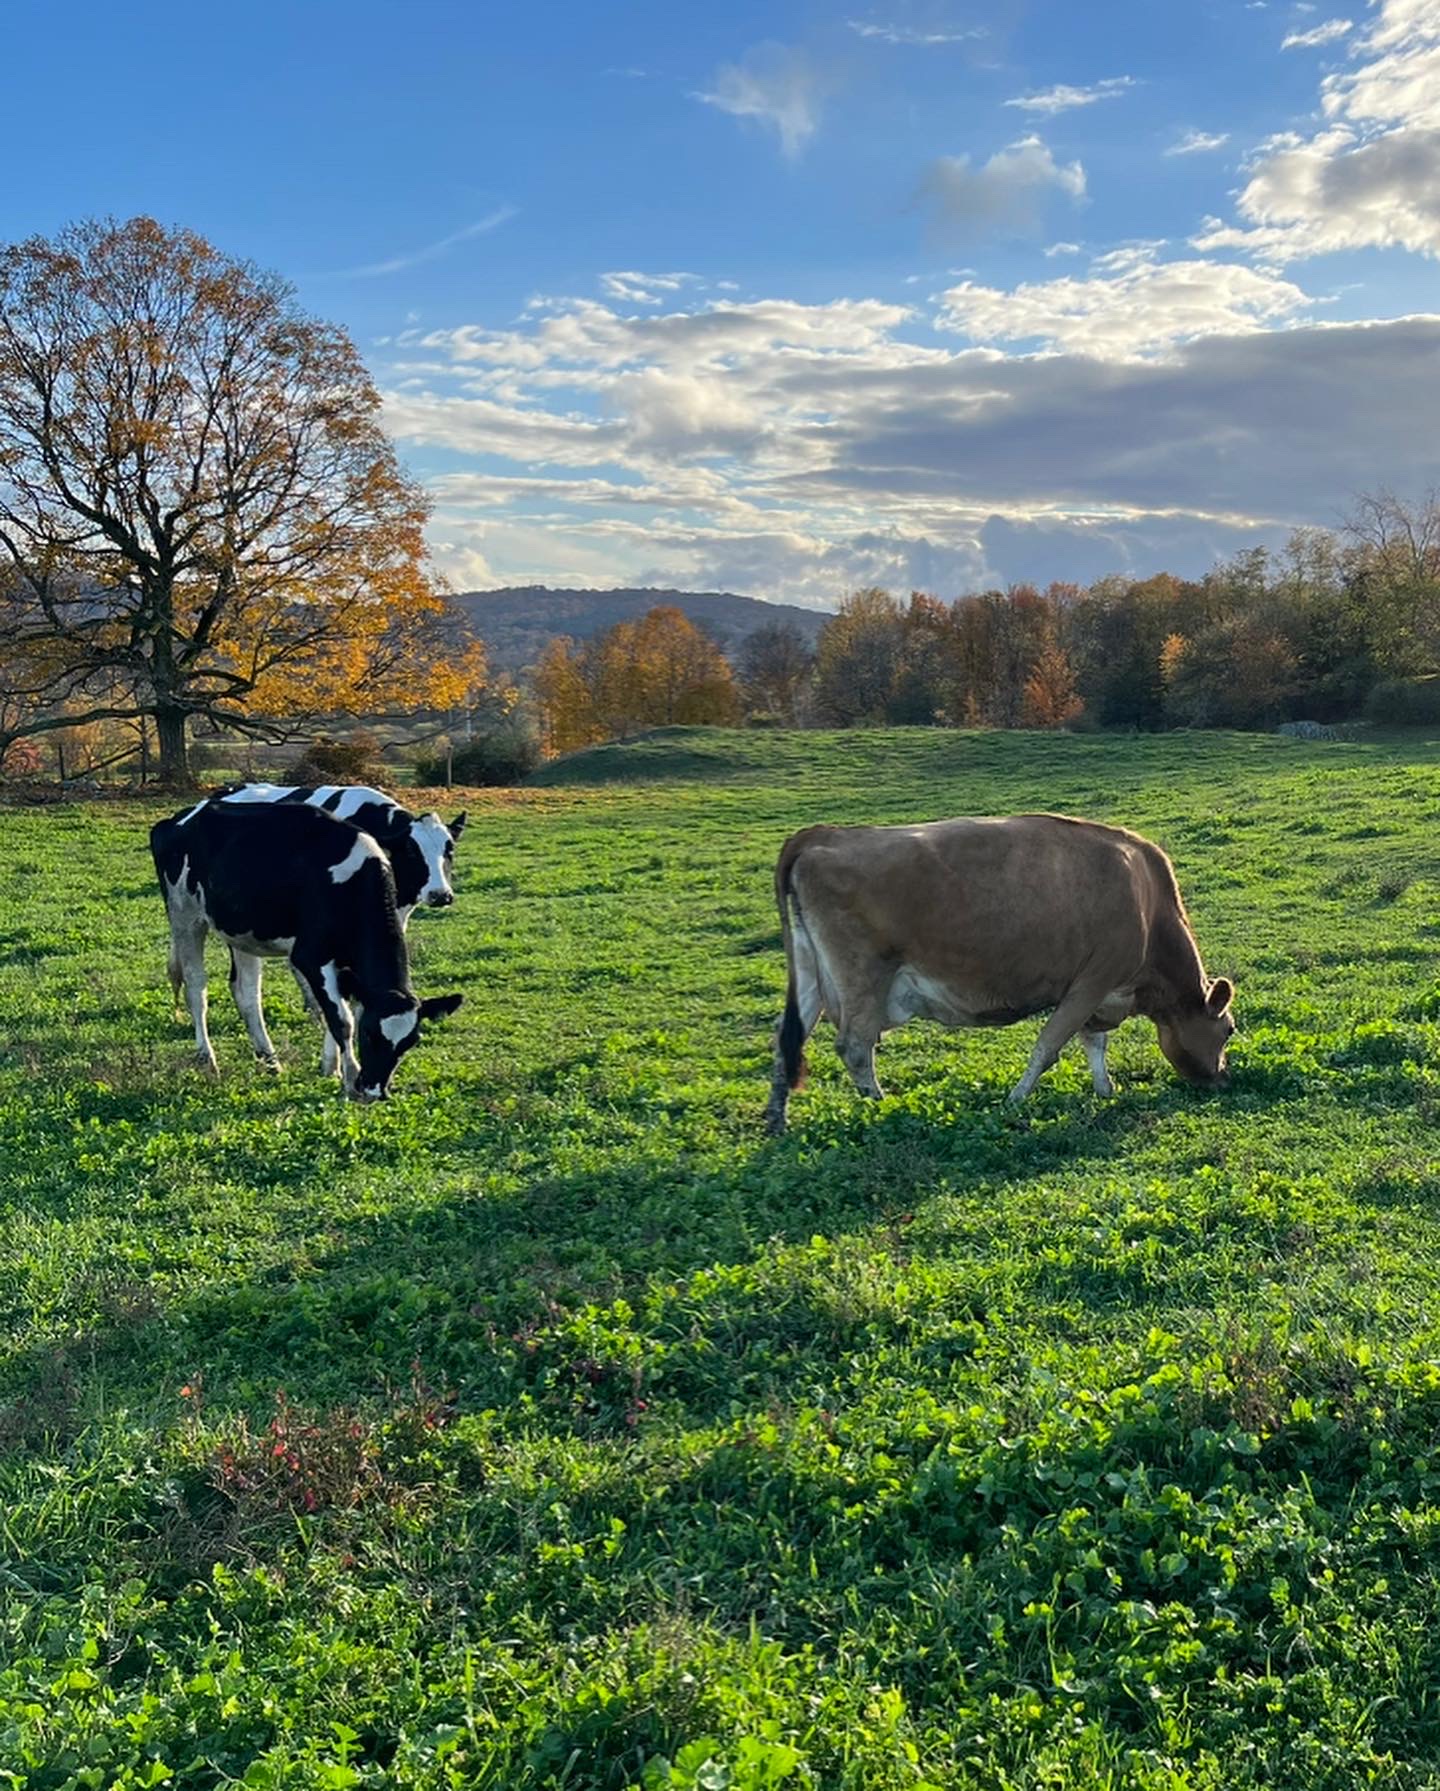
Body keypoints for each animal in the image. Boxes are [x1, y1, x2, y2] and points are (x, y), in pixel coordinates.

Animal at [151, 802, 463, 1100]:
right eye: (370, 1034)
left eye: (410, 1043)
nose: (375, 1091)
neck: (351, 883)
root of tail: (180, 817)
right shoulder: (311, 958)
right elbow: (342, 1019)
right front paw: (349, 1077)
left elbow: (346, 1009)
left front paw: (332, 1066)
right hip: (185, 918)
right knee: (196, 989)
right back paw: (208, 1058)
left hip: (241, 932)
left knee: (247, 993)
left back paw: (269, 1059)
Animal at [765, 814, 1234, 1132]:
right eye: (1228, 1030)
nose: (1222, 1079)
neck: (1147, 902)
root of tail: (825, 834)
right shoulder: (1091, 980)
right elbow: (1049, 1046)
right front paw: (1016, 1099)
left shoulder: (1097, 994)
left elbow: (1093, 1043)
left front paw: (1105, 1089)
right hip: (863, 977)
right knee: (856, 1048)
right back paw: (882, 1109)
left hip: (809, 974)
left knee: (787, 1036)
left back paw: (777, 1121)